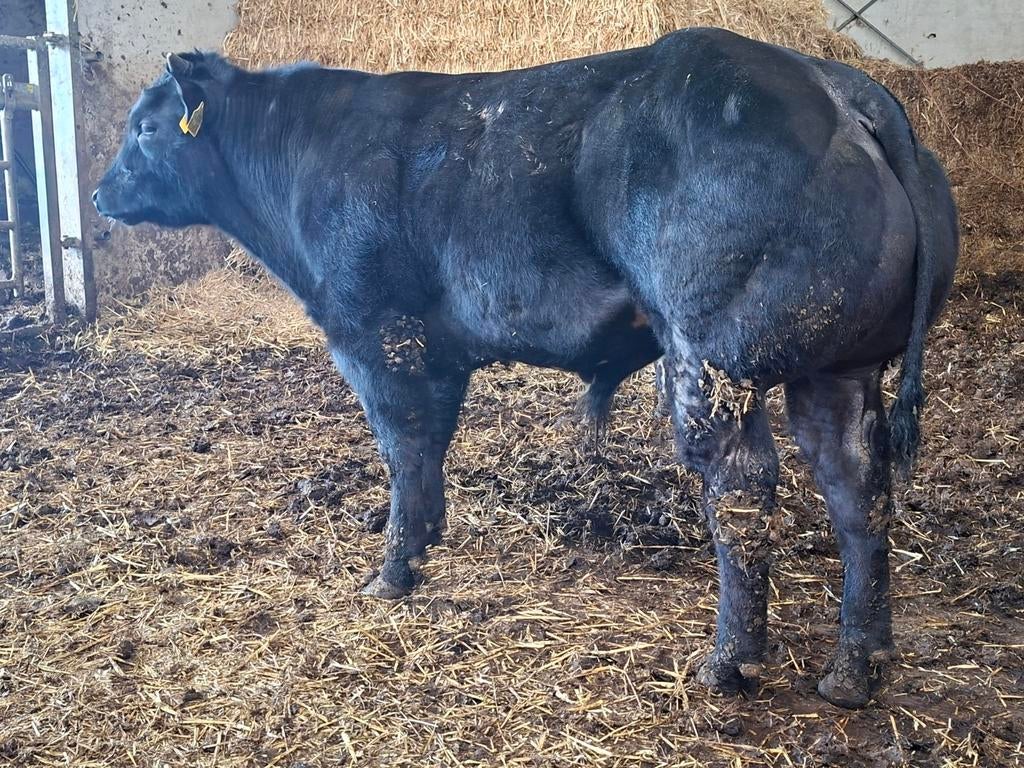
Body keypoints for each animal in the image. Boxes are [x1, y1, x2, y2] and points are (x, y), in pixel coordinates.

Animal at [93, 27, 959, 708]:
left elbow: (404, 453)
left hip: (713, 360)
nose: (100, 196)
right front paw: (423, 545)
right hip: (841, 367)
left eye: (145, 128)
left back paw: (729, 662)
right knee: (859, 488)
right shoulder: (436, 350)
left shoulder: (378, 333)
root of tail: (831, 82)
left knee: (743, 489)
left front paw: (391, 573)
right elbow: (430, 454)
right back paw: (856, 666)